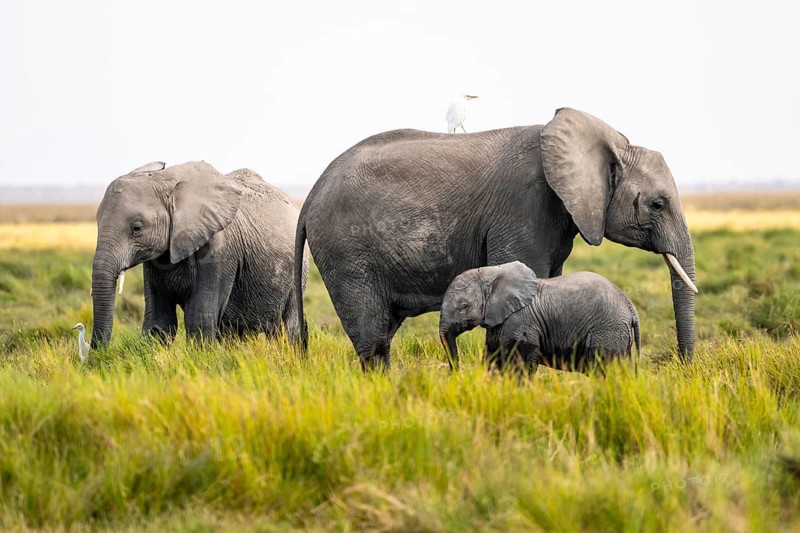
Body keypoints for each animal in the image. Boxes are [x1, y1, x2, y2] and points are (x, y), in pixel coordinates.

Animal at [91, 160, 308, 347]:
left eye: (136, 228)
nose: (97, 355)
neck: (167, 183)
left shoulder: (219, 250)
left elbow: (199, 316)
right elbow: (158, 320)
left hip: (298, 270)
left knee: (288, 326)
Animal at [438, 261, 640, 372]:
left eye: (463, 307)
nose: (457, 374)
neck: (492, 272)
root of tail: (630, 306)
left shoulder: (522, 321)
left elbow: (520, 363)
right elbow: (493, 357)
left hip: (608, 331)